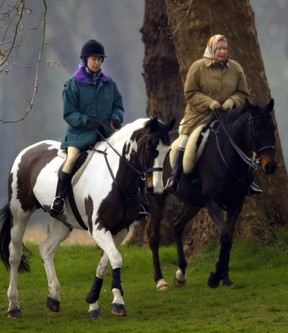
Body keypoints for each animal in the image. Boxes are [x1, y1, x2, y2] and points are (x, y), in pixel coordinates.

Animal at [0, 116, 174, 316]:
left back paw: (53, 298)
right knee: (15, 254)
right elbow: (116, 258)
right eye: (150, 147)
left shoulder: (120, 229)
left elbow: (105, 263)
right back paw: (14, 306)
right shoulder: (98, 228)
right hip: (20, 213)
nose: (157, 190)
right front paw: (117, 303)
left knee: (46, 249)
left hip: (64, 222)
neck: (117, 180)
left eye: (168, 151)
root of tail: (27, 151)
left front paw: (95, 302)